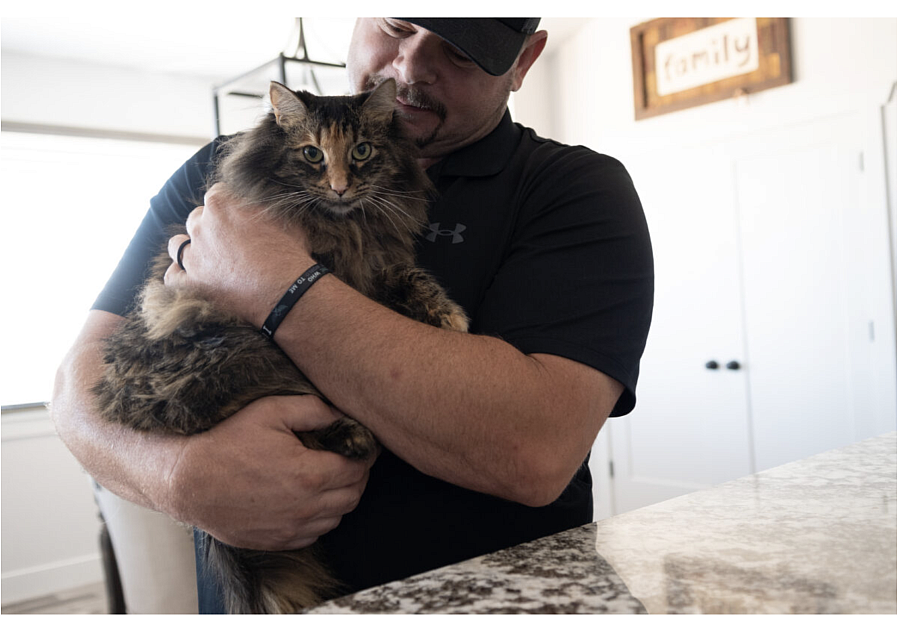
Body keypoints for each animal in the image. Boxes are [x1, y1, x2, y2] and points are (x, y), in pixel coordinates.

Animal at [94, 79, 468, 612]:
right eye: (312, 154)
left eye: (361, 151)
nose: (340, 186)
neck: (345, 226)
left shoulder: (376, 262)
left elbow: (411, 276)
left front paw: (447, 315)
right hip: (239, 351)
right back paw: (352, 435)